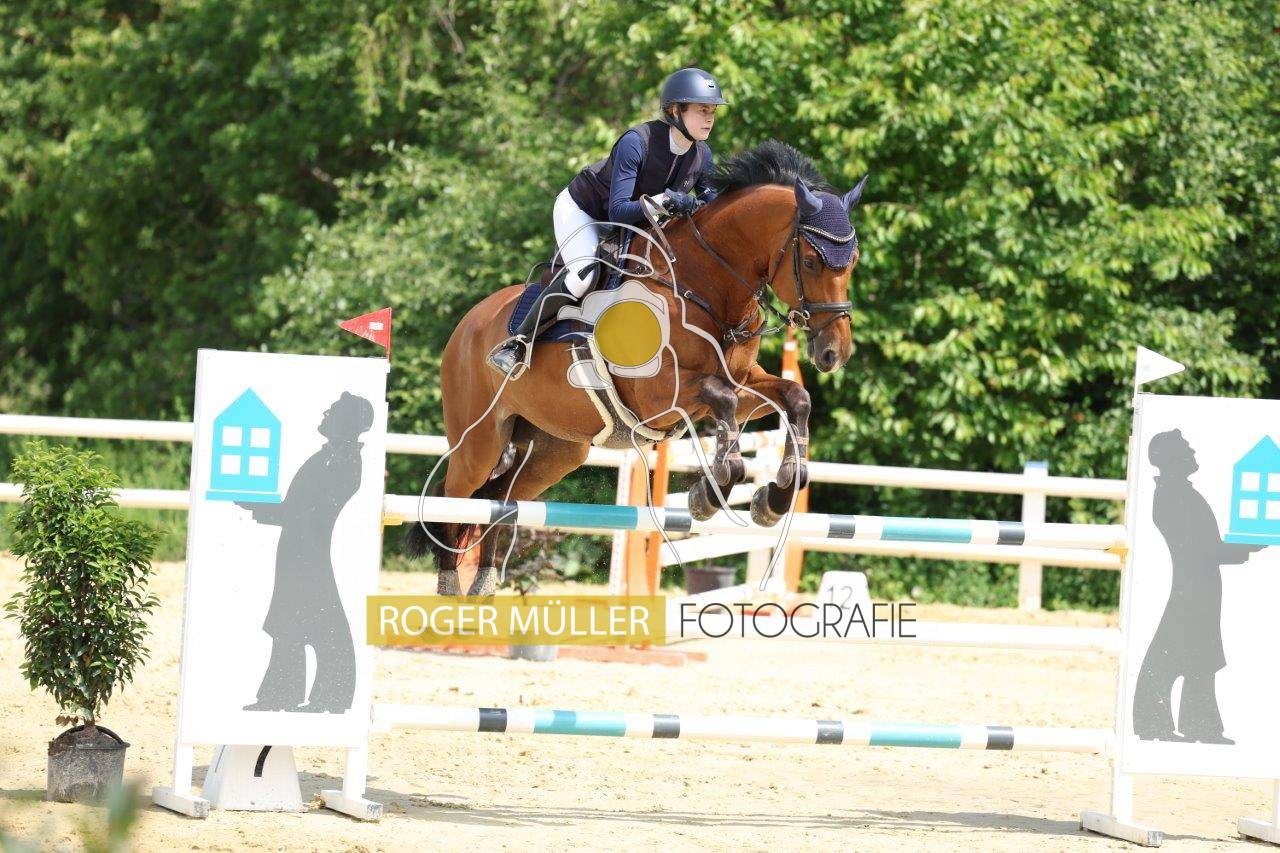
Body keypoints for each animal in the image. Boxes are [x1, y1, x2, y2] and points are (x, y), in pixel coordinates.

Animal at [408, 140, 867, 595]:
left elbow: (795, 398)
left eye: (853, 260)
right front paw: (710, 494)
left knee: (498, 499)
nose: (834, 353)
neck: (703, 286)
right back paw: (449, 589)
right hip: (479, 443)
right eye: (811, 261)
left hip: (554, 451)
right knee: (454, 501)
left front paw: (777, 495)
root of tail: (467, 325)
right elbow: (722, 405)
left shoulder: (741, 383)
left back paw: (483, 584)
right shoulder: (659, 397)